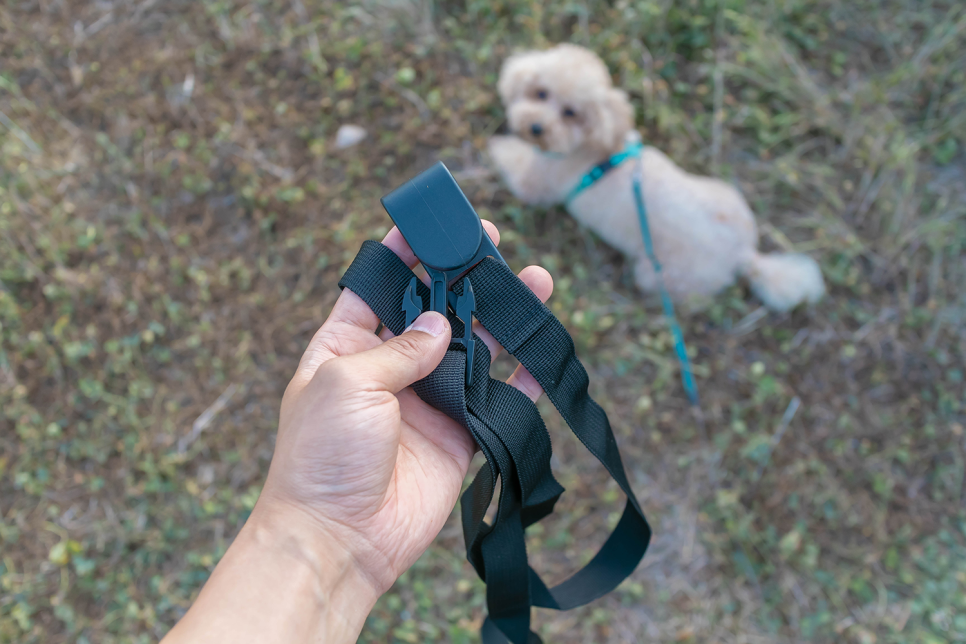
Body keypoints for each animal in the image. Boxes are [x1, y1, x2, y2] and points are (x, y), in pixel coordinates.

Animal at [492, 43, 824, 312]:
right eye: (541, 93)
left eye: (570, 112)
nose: (535, 127)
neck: (594, 147)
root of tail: (744, 254)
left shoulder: (538, 181)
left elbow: (511, 159)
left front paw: (497, 146)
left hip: (658, 275)